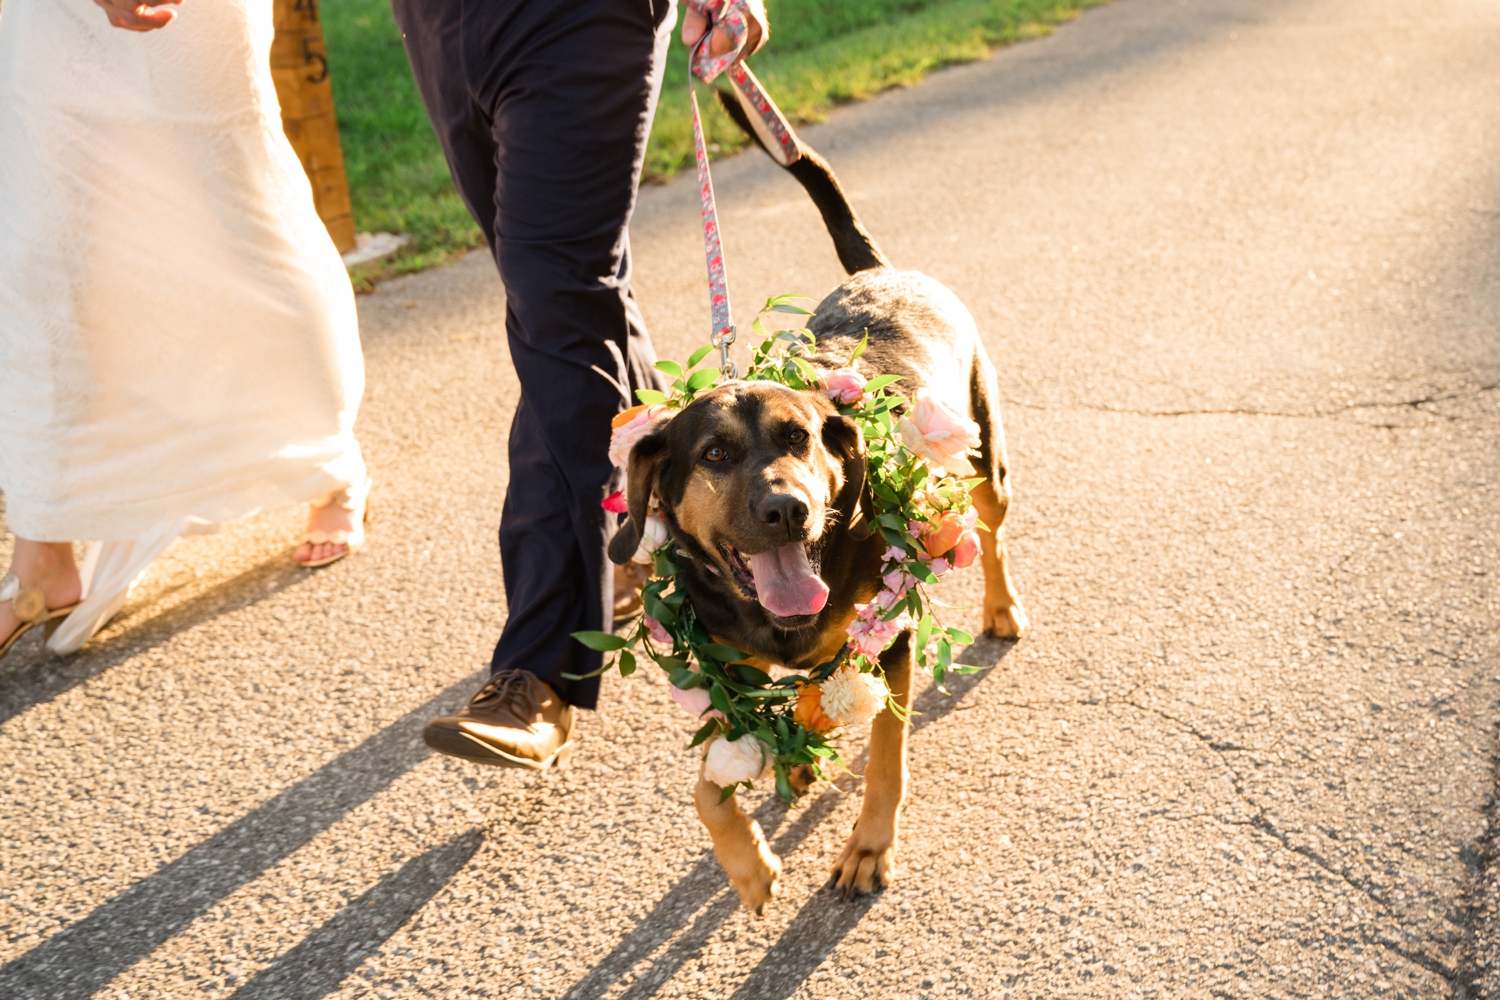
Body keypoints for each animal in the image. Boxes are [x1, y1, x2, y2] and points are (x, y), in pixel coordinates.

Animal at [603, 101, 1026, 917]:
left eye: (798, 437)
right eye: (714, 454)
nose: (787, 510)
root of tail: (878, 270)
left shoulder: (890, 637)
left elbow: (886, 756)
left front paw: (868, 846)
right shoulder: (722, 663)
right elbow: (709, 784)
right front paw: (747, 861)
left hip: (983, 455)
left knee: (991, 532)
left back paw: (1000, 607)